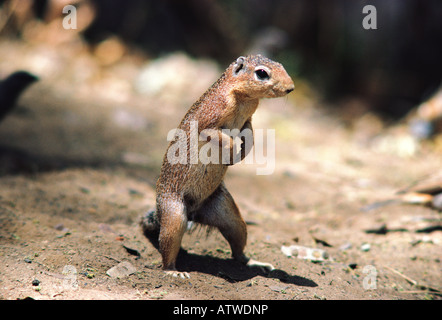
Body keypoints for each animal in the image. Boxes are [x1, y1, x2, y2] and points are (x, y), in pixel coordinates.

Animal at [142, 54, 294, 278]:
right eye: (262, 73)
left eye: (282, 65)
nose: (291, 88)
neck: (243, 98)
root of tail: (194, 213)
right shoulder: (210, 121)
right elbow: (221, 137)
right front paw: (232, 153)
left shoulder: (248, 120)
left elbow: (250, 133)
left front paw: (243, 151)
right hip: (174, 215)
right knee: (168, 244)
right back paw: (173, 271)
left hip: (229, 214)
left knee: (237, 247)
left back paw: (254, 263)